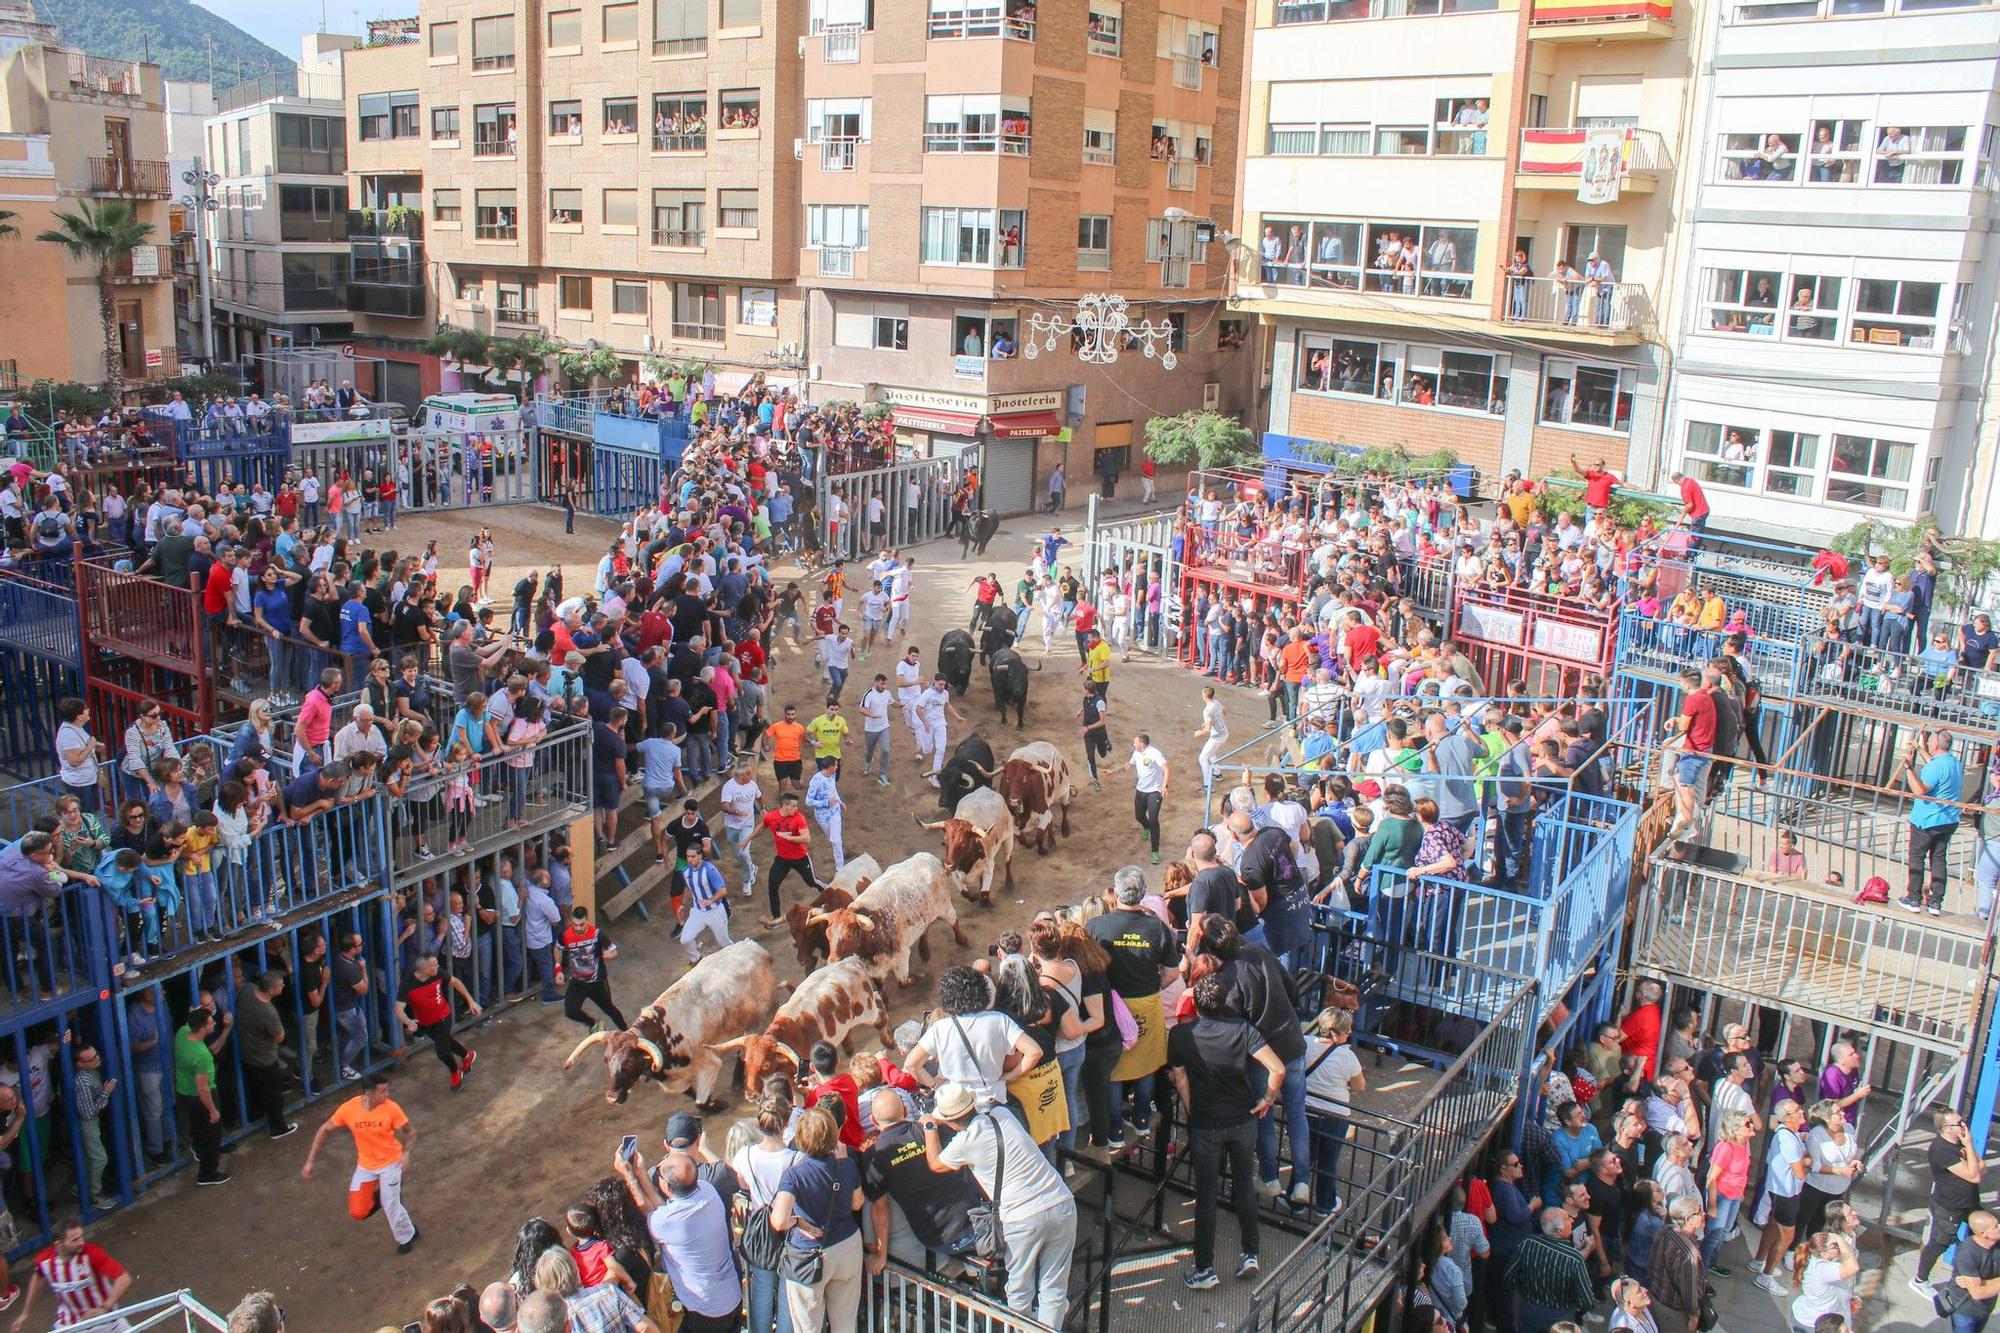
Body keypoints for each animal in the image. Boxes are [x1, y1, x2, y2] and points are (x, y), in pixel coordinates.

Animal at [572, 928, 780, 1104]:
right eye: (606, 1059)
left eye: (629, 1062)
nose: (612, 1097)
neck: (663, 1033)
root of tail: (755, 947)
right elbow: (690, 1094)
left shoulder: (708, 1066)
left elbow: (702, 1100)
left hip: (763, 1017)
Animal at [704, 960, 892, 1096]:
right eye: (746, 1061)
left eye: (765, 1065)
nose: (750, 1095)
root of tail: (851, 962)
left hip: (866, 1010)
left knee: (880, 1015)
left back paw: (887, 1040)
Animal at [808, 852, 972, 984]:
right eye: (828, 935)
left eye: (848, 935)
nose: (832, 961)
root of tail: (934, 860)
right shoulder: (874, 970)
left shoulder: (901, 959)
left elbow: (903, 983)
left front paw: (921, 977)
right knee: (926, 927)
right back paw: (924, 951)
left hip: (944, 905)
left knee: (953, 920)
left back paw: (962, 940)